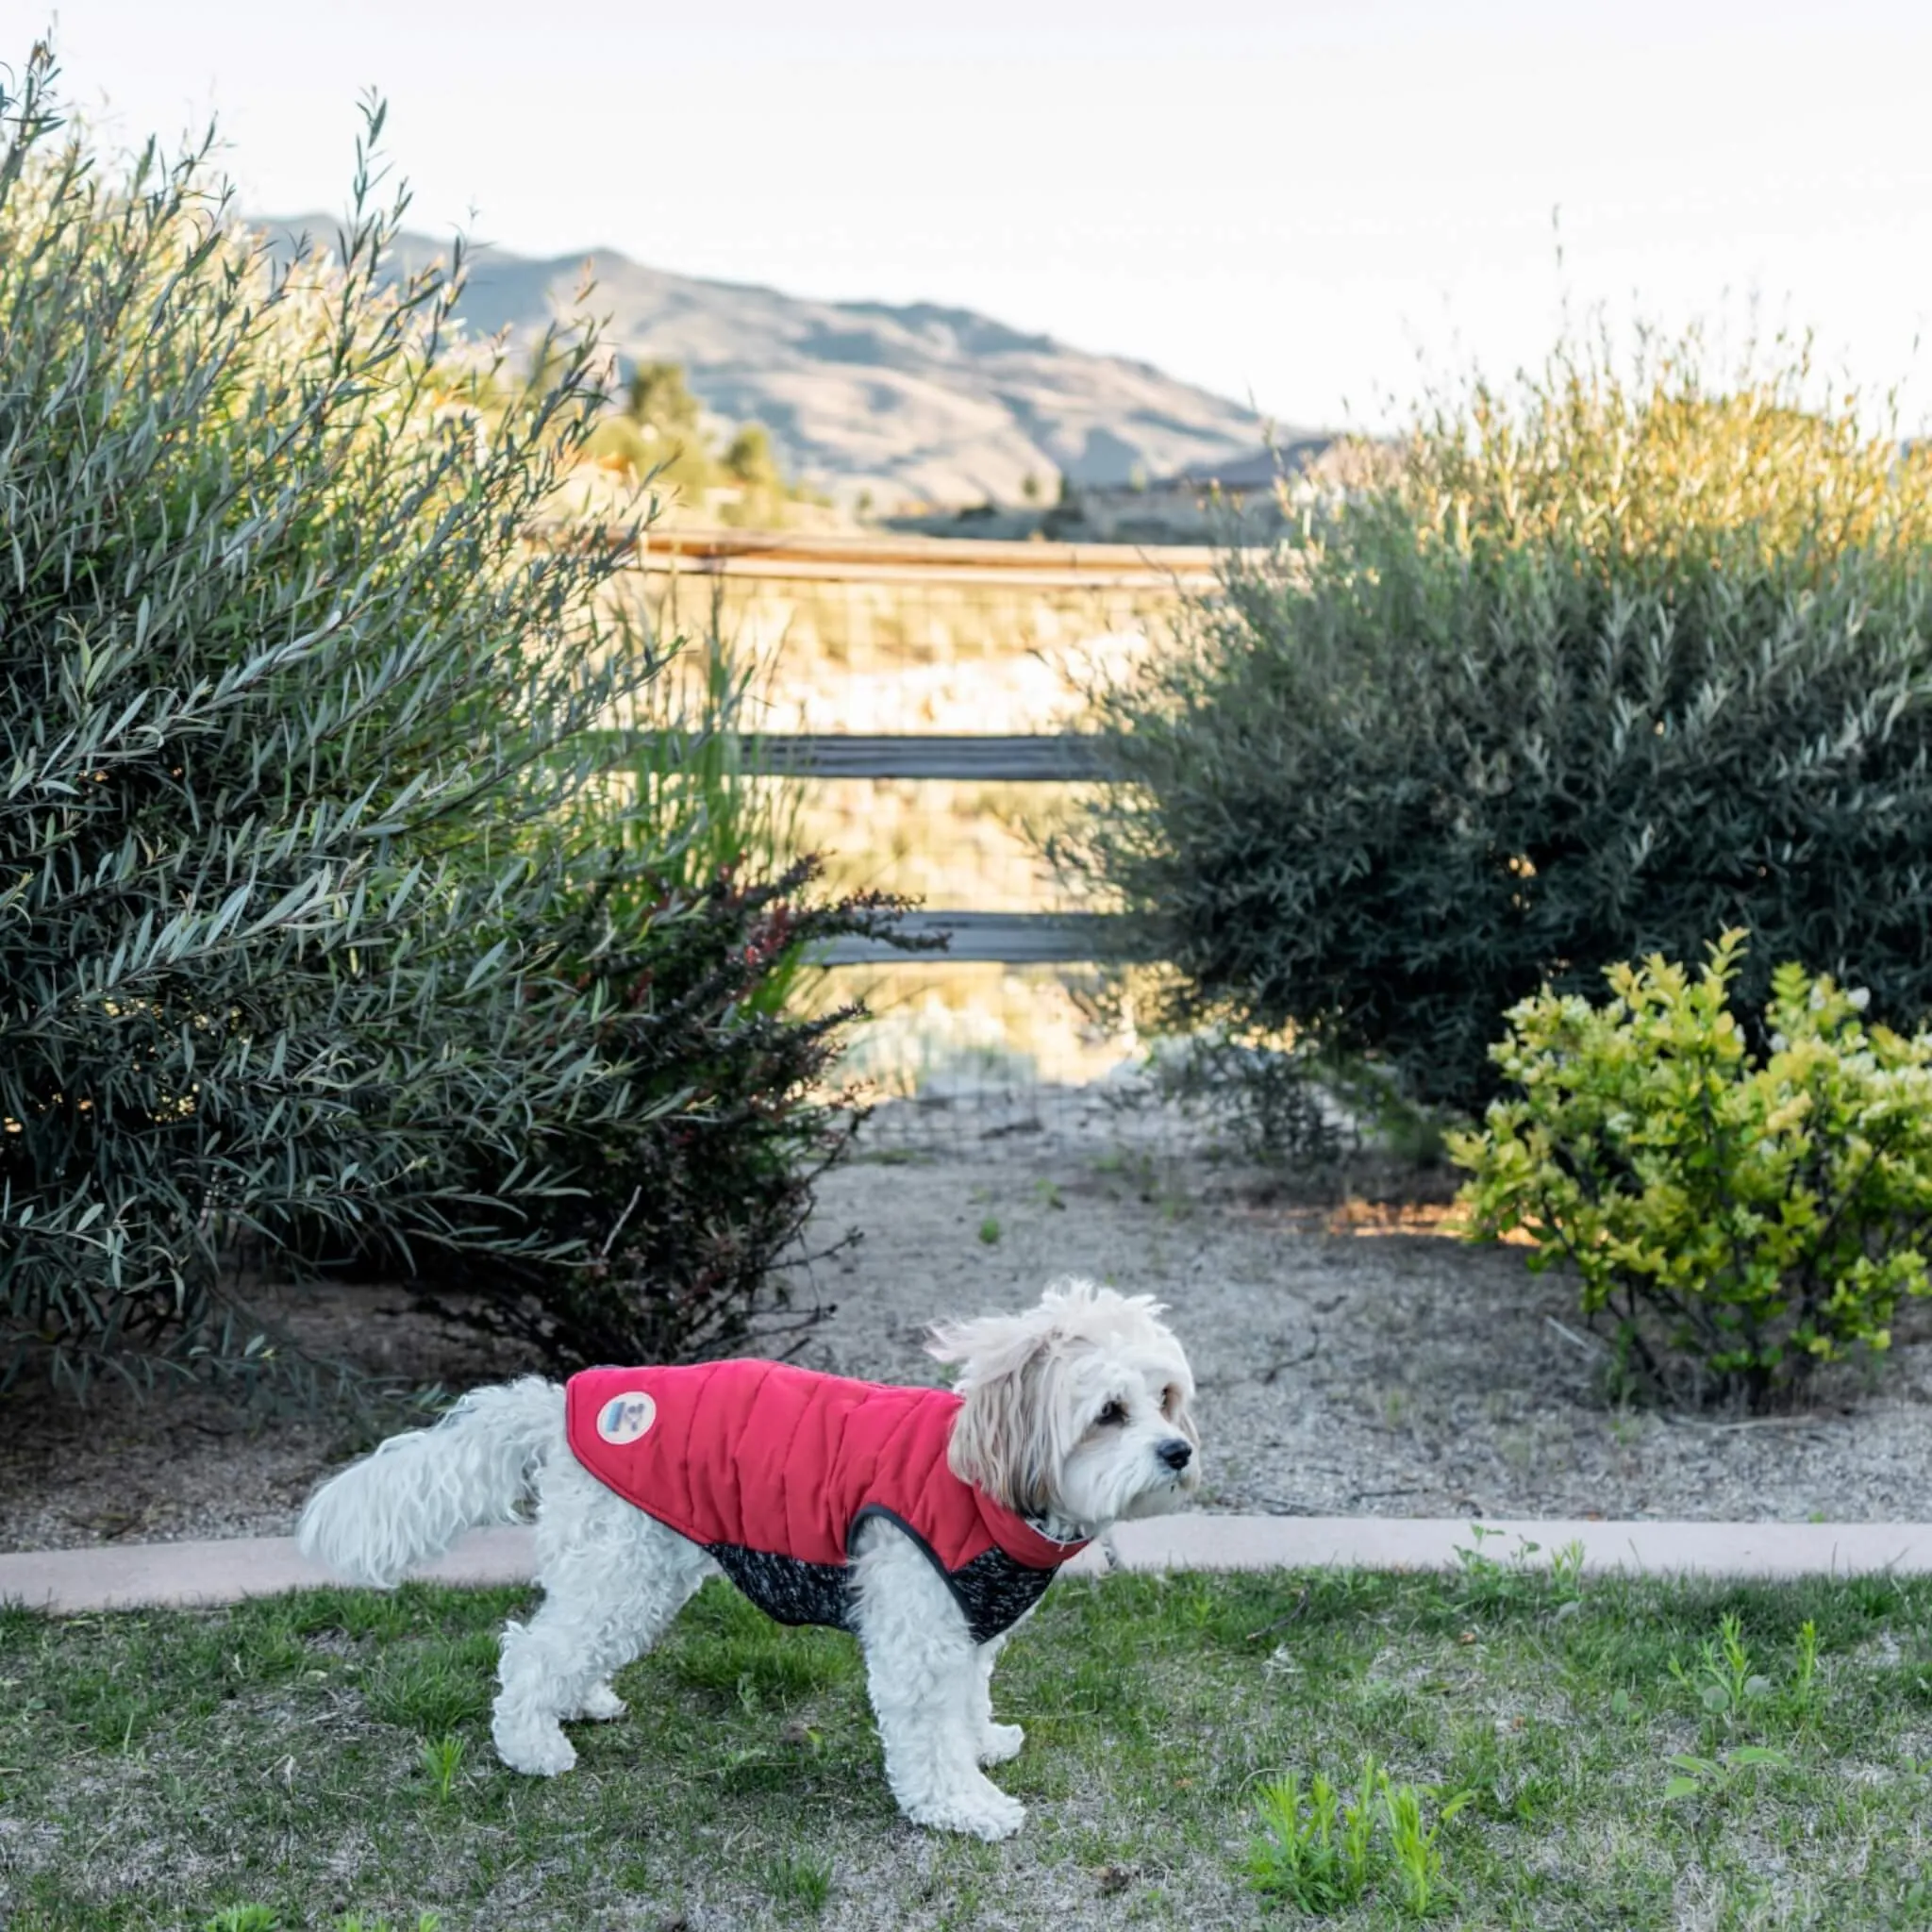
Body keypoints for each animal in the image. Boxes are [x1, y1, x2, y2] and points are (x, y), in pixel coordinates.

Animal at [293, 1282, 1197, 1839]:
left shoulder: (967, 1634)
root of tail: (563, 1404)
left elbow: (968, 1704)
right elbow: (927, 1736)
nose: (1180, 1451)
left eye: (1165, 1399)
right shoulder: (917, 1632)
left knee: (564, 1642)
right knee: (530, 1653)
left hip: (621, 1570)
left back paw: (579, 1703)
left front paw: (982, 1746)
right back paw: (532, 1746)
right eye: (1108, 1412)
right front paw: (964, 1806)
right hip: (628, 1573)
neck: (982, 1481)